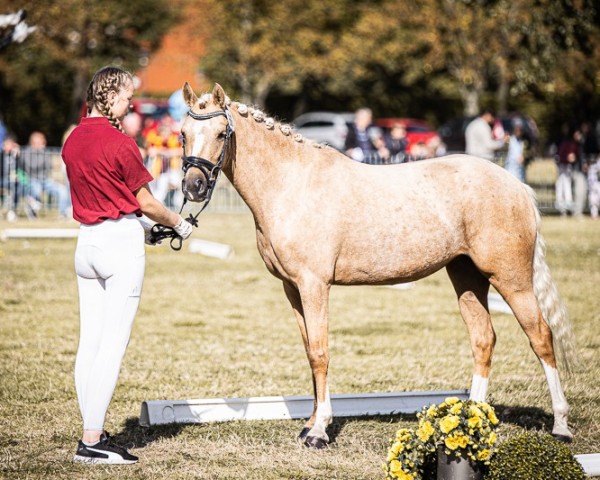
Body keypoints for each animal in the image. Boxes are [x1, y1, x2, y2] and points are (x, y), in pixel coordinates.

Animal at [178, 83, 576, 450]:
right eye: (182, 133)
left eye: (221, 133)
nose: (193, 186)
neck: (292, 184)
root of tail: (518, 186)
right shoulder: (292, 288)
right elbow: (309, 352)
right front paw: (308, 425)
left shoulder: (313, 284)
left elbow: (320, 352)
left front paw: (319, 431)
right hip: (467, 276)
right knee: (483, 339)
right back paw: (471, 421)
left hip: (512, 280)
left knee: (541, 337)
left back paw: (561, 426)